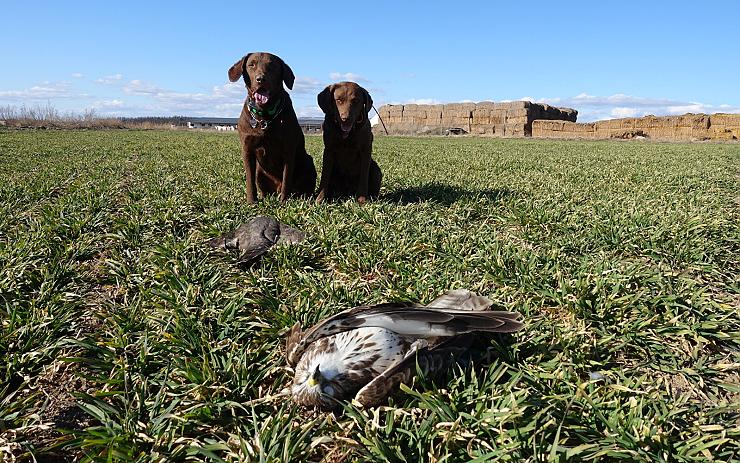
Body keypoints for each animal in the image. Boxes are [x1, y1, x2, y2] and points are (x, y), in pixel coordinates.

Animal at [228, 51, 316, 202]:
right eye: (251, 64)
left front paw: (284, 202)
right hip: (260, 171)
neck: (264, 115)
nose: (260, 79)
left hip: (308, 162)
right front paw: (251, 202)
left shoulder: (288, 150)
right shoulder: (247, 150)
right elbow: (250, 180)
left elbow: (287, 179)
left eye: (272, 66)